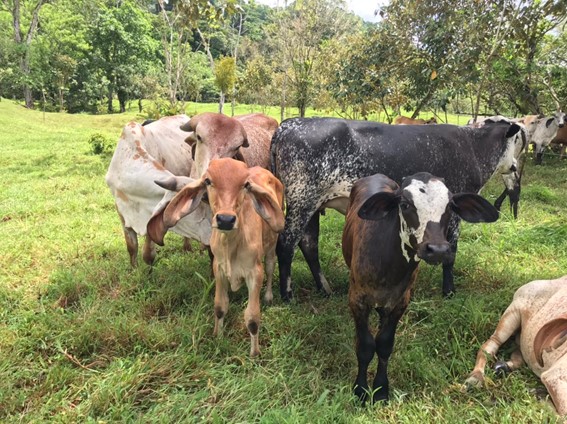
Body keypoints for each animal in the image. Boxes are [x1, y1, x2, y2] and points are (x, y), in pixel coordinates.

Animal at [150, 158, 285, 357]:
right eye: (208, 181)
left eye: (246, 185)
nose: (226, 220)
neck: (231, 244)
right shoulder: (218, 268)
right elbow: (220, 307)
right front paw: (218, 336)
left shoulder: (255, 272)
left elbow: (252, 318)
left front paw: (254, 353)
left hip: (272, 245)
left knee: (270, 266)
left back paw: (268, 296)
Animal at [270, 118, 521, 301]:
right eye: (517, 141)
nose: (516, 166)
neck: (473, 146)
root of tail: (287, 125)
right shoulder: (454, 215)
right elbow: (451, 253)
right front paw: (449, 291)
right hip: (302, 200)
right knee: (286, 244)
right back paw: (287, 296)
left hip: (313, 204)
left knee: (309, 244)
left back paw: (324, 288)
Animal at [344, 172, 498, 404]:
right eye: (405, 204)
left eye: (450, 206)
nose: (438, 249)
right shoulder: (357, 300)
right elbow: (365, 346)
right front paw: (361, 390)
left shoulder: (401, 301)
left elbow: (385, 344)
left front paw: (380, 389)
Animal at [464, 275, 567, 416]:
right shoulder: (554, 377)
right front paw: (541, 397)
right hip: (511, 316)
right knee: (489, 346)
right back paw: (475, 377)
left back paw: (504, 366)